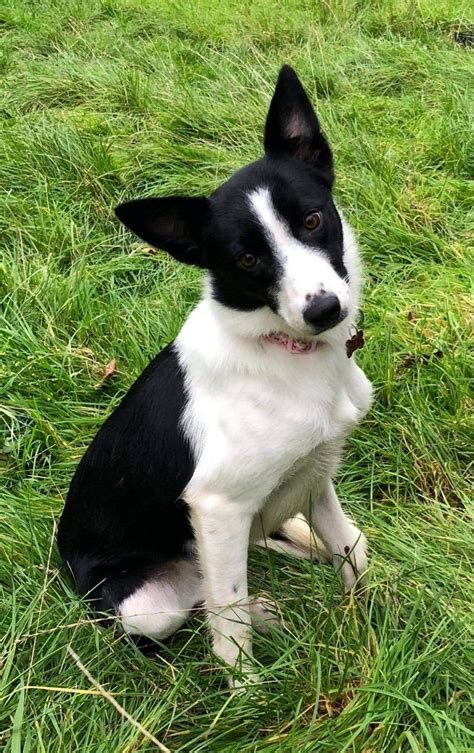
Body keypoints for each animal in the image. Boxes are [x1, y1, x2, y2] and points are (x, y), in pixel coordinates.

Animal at [57, 66, 372, 688]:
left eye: (312, 219)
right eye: (247, 260)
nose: (325, 310)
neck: (284, 350)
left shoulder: (315, 470)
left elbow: (348, 544)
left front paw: (367, 610)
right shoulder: (217, 506)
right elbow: (229, 619)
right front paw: (249, 691)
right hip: (148, 606)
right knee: (205, 596)